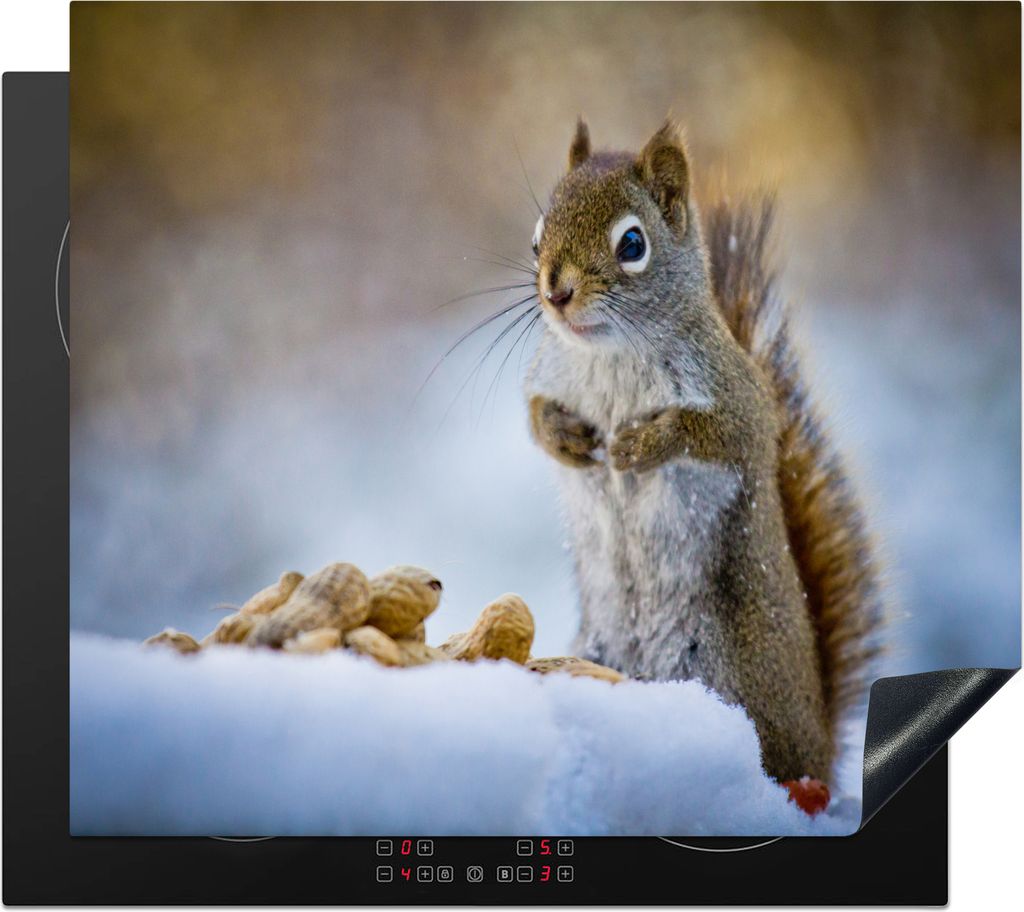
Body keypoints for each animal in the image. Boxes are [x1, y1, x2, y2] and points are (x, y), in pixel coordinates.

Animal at [524, 119, 884, 814]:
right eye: (535, 237)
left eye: (632, 243)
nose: (556, 293)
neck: (611, 355)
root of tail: (821, 742)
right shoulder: (546, 374)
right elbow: (533, 416)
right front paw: (568, 439)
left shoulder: (739, 399)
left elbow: (720, 434)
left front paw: (641, 445)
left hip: (730, 677)